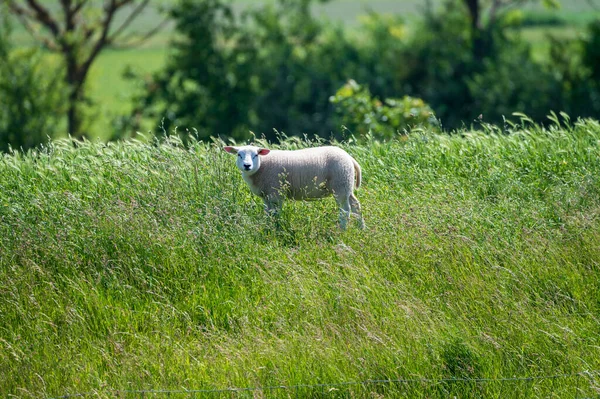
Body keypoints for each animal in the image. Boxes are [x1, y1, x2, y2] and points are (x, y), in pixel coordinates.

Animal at [223, 145, 364, 230]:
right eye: (239, 155)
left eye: (256, 155)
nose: (247, 165)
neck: (262, 167)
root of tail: (349, 157)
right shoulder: (266, 196)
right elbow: (268, 213)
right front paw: (268, 227)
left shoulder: (276, 193)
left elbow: (275, 213)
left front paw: (276, 228)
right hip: (346, 186)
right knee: (356, 205)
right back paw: (361, 228)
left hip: (340, 185)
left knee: (345, 210)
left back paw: (342, 230)